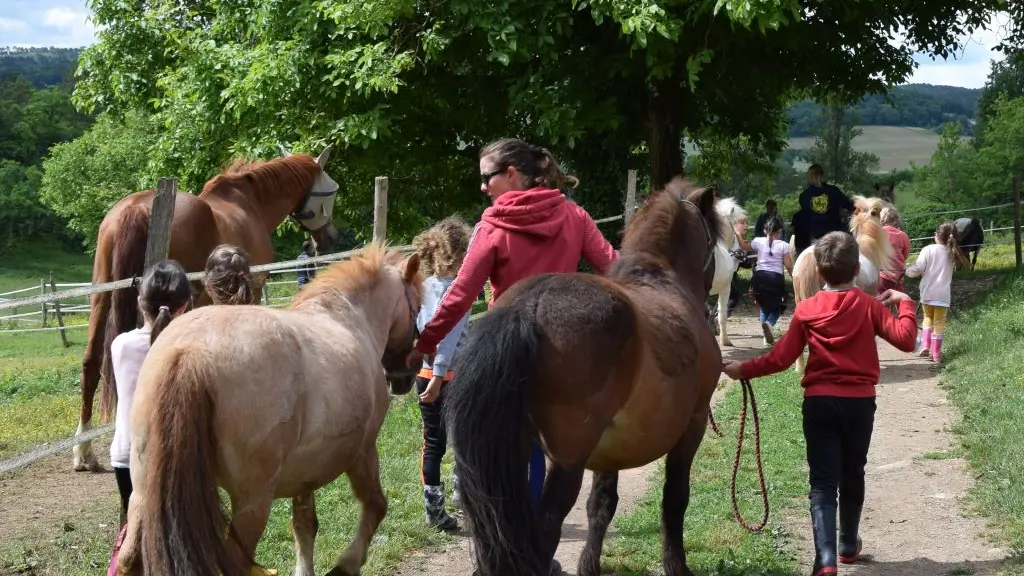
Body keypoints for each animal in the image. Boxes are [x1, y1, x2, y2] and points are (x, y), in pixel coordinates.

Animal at [74, 145, 344, 469]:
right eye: (331, 191)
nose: (329, 239)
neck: (250, 203)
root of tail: (135, 208)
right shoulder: (251, 290)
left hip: (101, 297)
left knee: (90, 363)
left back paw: (84, 451)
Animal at [117, 241, 421, 573]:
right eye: (418, 308)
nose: (408, 374)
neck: (349, 318)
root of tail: (190, 352)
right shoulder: (363, 452)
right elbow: (376, 505)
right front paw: (347, 565)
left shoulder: (305, 474)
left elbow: (304, 525)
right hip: (253, 503)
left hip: (144, 493)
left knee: (129, 558)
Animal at [444, 177, 724, 573]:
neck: (662, 278)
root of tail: (528, 307)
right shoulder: (693, 424)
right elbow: (675, 498)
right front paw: (676, 564)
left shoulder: (611, 449)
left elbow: (601, 507)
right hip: (566, 461)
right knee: (545, 528)